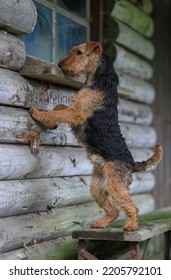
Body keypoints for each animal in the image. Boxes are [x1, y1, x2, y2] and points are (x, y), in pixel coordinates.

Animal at [29, 40, 163, 231]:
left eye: (79, 52)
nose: (61, 65)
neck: (102, 79)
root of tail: (132, 163)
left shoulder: (78, 113)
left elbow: (58, 112)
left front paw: (37, 113)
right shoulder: (76, 110)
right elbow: (58, 109)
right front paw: (50, 123)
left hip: (115, 185)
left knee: (131, 207)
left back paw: (131, 225)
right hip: (98, 187)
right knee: (113, 210)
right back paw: (100, 223)